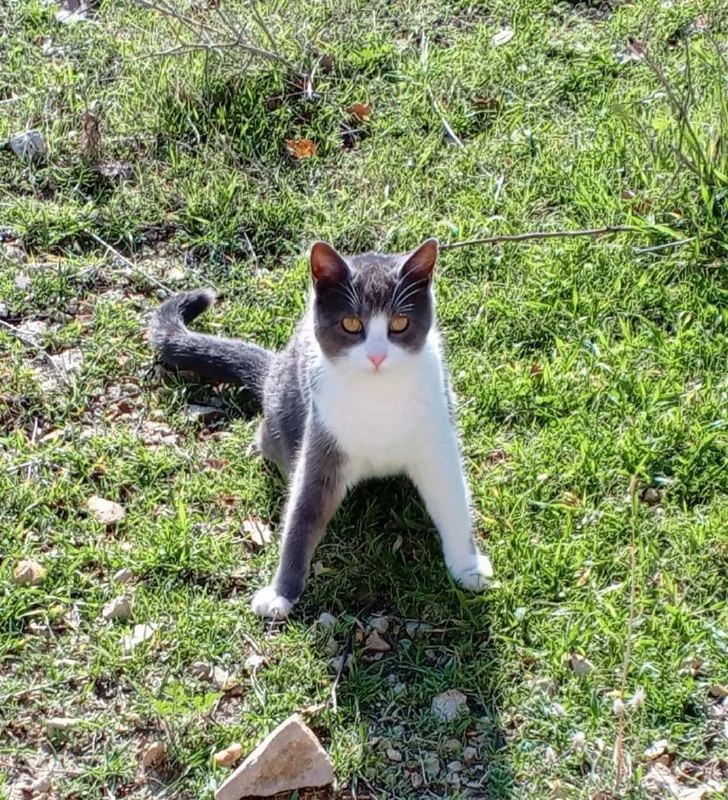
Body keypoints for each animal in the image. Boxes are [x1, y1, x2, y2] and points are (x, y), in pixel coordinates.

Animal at [149, 238, 493, 618]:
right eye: (352, 323)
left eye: (400, 322)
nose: (377, 356)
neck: (379, 396)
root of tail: (272, 369)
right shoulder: (323, 440)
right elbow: (302, 512)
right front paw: (280, 593)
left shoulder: (436, 439)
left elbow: (453, 500)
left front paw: (467, 568)